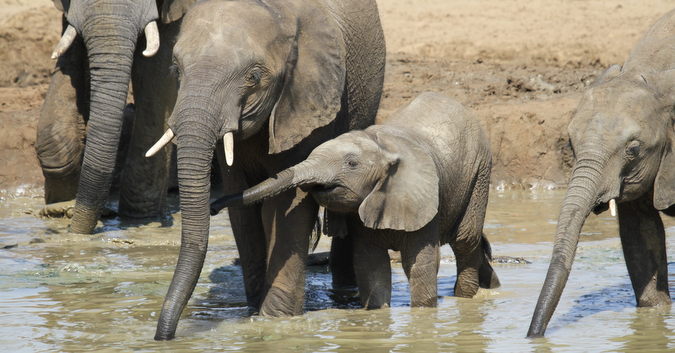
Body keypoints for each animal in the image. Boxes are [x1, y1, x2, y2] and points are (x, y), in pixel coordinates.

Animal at [149, 0, 386, 340]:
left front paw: (275, 320)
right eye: (176, 69)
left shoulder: (306, 96)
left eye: (254, 77)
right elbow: (242, 208)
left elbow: (287, 204)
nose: (163, 336)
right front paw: (252, 313)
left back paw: (345, 294)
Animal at [214, 92, 500, 306]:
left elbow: (420, 265)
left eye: (351, 164)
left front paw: (423, 315)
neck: (382, 147)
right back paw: (492, 286)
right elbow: (371, 266)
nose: (213, 207)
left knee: (465, 240)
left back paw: (465, 297)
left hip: (479, 172)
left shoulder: (423, 201)